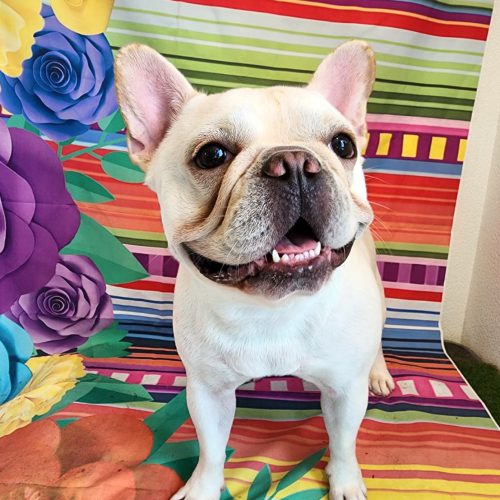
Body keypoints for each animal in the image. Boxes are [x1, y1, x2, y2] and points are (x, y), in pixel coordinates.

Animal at [115, 40, 395, 500]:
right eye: (211, 155)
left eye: (343, 145)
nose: (295, 161)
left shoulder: (343, 390)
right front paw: (203, 487)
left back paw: (380, 371)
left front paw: (345, 480)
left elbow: (343, 441)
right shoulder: (207, 391)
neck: (274, 309)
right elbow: (211, 449)